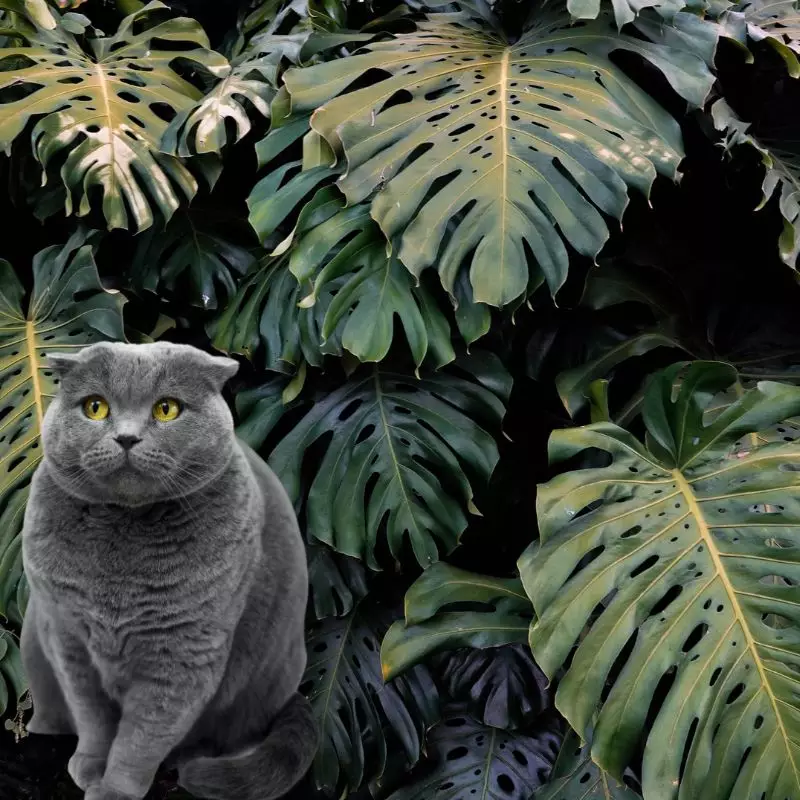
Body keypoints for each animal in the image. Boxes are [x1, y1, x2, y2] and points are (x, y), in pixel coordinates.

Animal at [16, 342, 316, 800]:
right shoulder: (68, 639)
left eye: (167, 409)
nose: (126, 437)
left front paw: (115, 789)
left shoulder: (182, 651)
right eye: (95, 407)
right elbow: (93, 717)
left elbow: (142, 737)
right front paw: (90, 766)